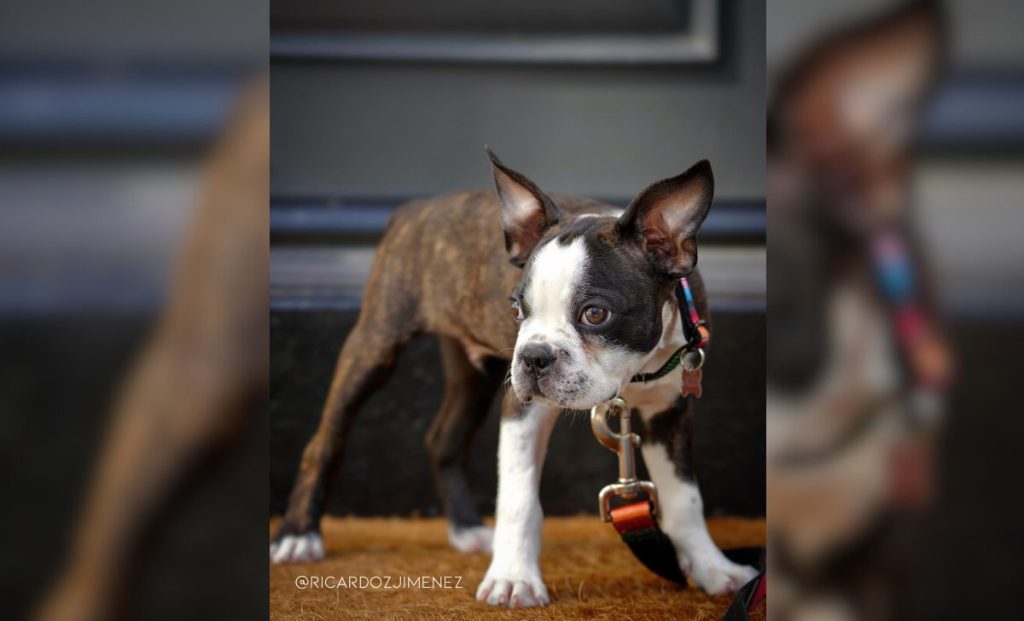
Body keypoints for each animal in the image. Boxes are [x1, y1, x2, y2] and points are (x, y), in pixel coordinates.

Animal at [272, 150, 761, 606]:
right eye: (516, 310)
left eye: (595, 314)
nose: (533, 356)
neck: (633, 376)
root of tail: (414, 208)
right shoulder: (523, 409)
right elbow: (519, 499)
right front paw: (513, 580)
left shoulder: (668, 412)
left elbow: (685, 498)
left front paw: (715, 571)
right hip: (376, 344)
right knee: (325, 441)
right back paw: (298, 535)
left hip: (475, 373)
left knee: (443, 439)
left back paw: (466, 529)